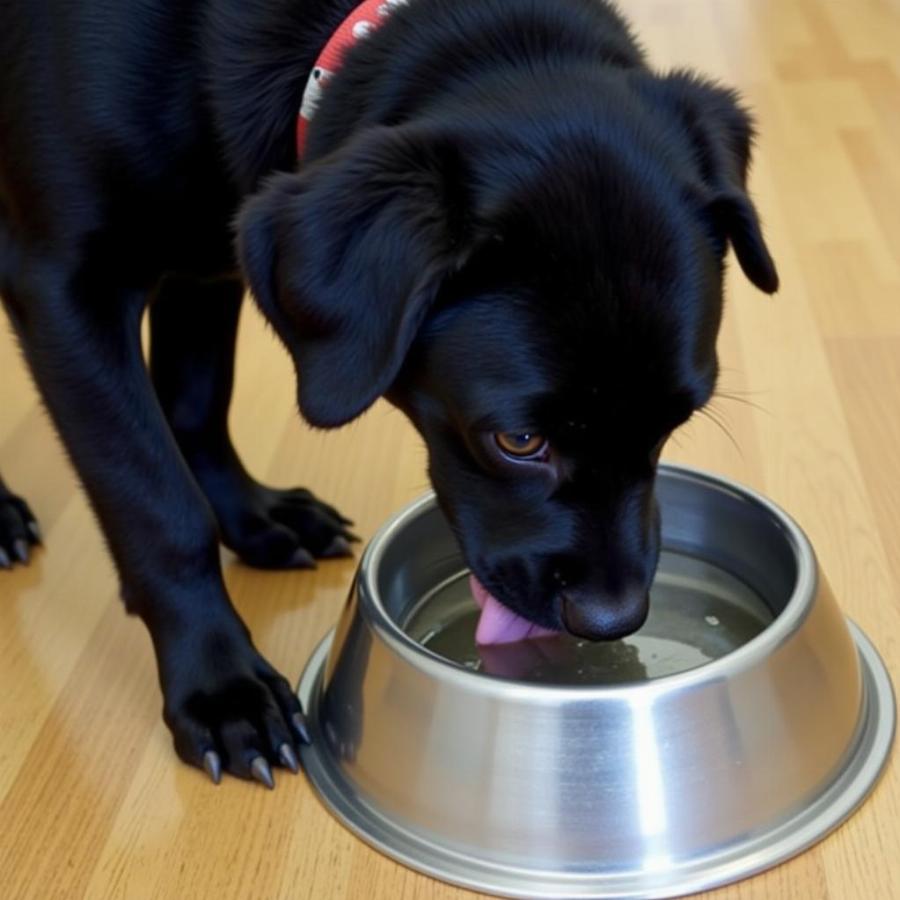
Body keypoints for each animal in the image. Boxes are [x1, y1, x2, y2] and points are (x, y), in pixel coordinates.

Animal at [0, 0, 772, 788]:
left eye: (676, 419)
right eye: (519, 441)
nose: (613, 620)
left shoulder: (211, 253)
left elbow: (195, 403)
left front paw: (252, 517)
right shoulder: (65, 287)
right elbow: (159, 506)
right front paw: (222, 687)